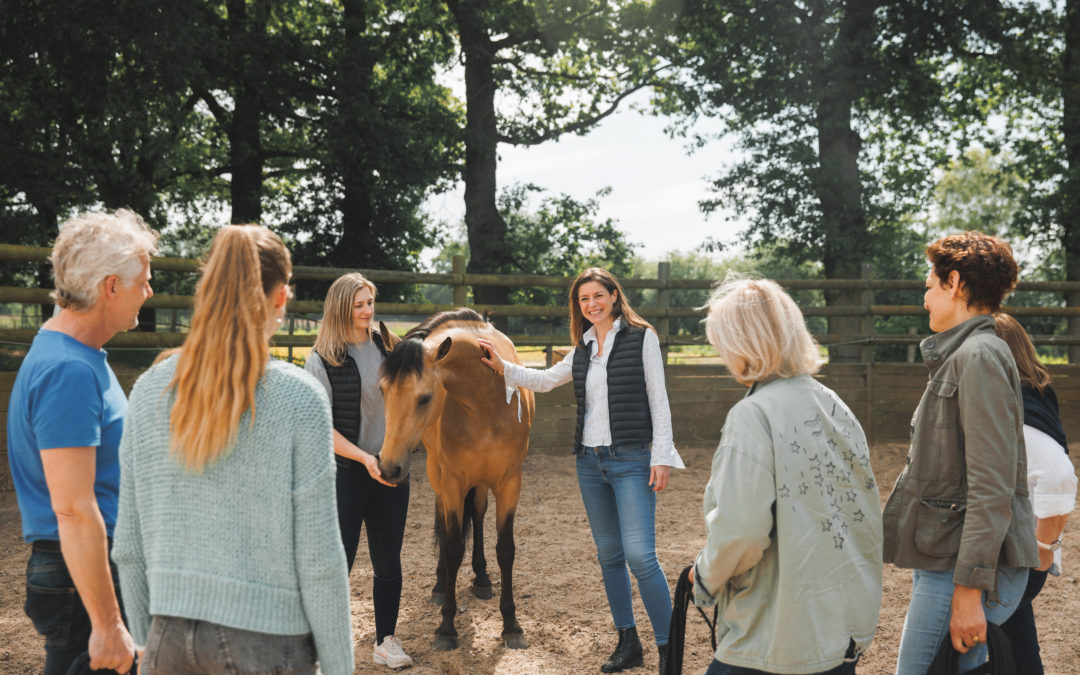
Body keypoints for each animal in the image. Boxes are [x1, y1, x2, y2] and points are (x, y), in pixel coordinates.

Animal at [375, 308, 535, 648]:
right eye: (382, 390)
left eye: (424, 398)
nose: (388, 468)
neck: (487, 402)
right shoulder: (451, 482)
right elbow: (451, 547)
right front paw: (446, 626)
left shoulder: (509, 483)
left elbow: (506, 550)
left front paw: (511, 625)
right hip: (438, 473)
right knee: (444, 520)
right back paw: (439, 585)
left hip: (481, 483)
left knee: (478, 512)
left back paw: (483, 579)